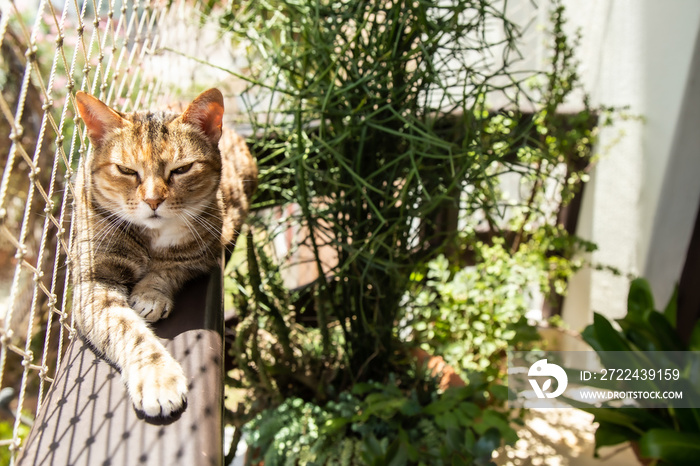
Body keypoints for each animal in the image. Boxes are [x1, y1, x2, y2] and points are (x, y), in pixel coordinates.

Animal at [72, 89, 258, 416]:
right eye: (126, 170)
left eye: (182, 169)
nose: (153, 200)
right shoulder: (94, 280)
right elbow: (126, 328)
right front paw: (156, 376)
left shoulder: (200, 255)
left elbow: (167, 269)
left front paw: (150, 294)